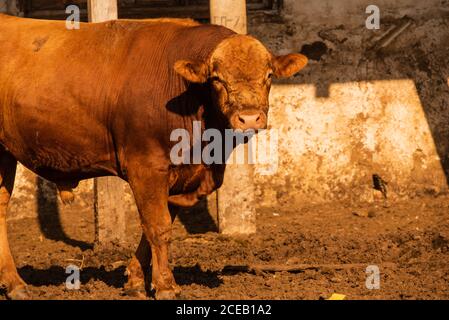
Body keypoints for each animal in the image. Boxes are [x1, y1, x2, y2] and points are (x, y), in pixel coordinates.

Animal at [0, 13, 306, 298]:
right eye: (217, 79)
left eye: (268, 76)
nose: (249, 118)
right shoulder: (146, 166)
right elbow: (158, 227)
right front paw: (165, 285)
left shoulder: (179, 175)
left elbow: (155, 227)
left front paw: (135, 279)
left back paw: (14, 284)